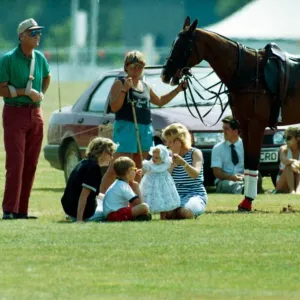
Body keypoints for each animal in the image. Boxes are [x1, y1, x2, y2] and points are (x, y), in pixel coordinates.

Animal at [162, 16, 300, 211]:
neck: (247, 73)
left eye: (184, 46)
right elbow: (248, 163)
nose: (164, 74)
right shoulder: (244, 125)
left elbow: (252, 161)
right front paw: (246, 200)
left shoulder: (256, 124)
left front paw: (247, 202)